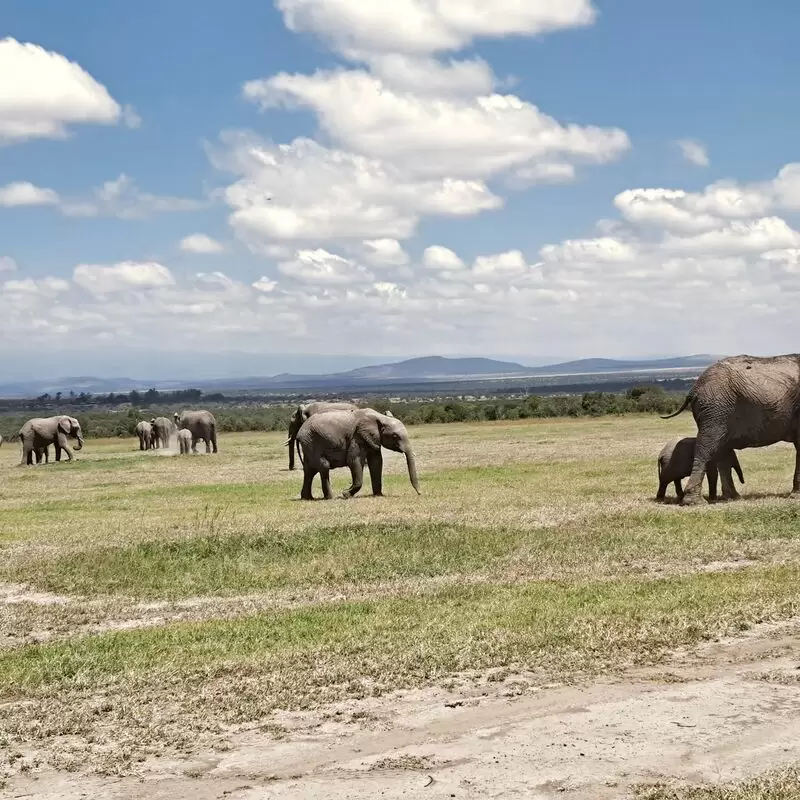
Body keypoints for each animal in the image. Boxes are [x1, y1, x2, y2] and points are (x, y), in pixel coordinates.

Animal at [664, 354, 800, 504]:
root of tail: (693, 389)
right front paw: (796, 497)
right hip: (716, 409)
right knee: (706, 448)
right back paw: (695, 502)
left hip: (718, 411)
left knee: (721, 450)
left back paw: (733, 497)